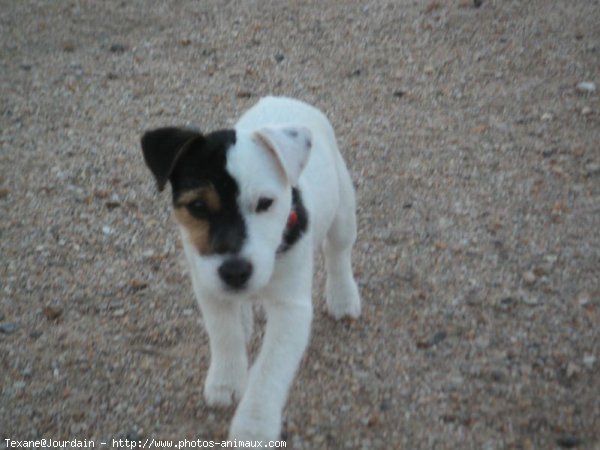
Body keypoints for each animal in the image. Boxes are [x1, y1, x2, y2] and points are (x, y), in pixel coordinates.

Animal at [141, 96, 360, 442]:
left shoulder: (291, 308)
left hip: (342, 210)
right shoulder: (207, 284)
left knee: (339, 252)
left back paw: (343, 298)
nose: (235, 272)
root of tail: (283, 98)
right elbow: (224, 333)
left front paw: (254, 425)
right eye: (198, 207)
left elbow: (270, 369)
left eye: (265, 204)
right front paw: (226, 381)